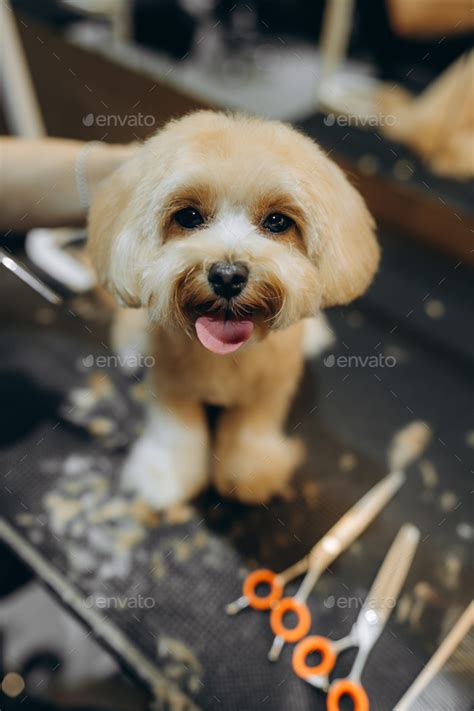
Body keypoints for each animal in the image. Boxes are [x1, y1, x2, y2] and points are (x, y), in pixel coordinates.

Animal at [88, 111, 378, 508]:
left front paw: (250, 471)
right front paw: (166, 475)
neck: (226, 356)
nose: (227, 276)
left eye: (277, 221)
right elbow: (176, 430)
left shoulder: (271, 387)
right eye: (189, 216)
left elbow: (252, 427)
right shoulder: (170, 384)